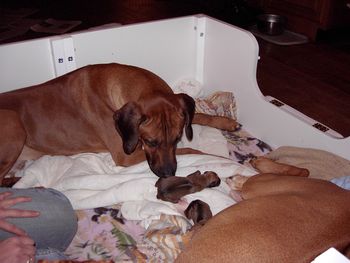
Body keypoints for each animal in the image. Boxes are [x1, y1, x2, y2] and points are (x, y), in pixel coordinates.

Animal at [0, 63, 238, 186]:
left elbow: (199, 115)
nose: (168, 173)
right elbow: (193, 150)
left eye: (177, 138)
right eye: (150, 142)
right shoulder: (125, 155)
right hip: (13, 122)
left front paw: (225, 122)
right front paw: (220, 159)